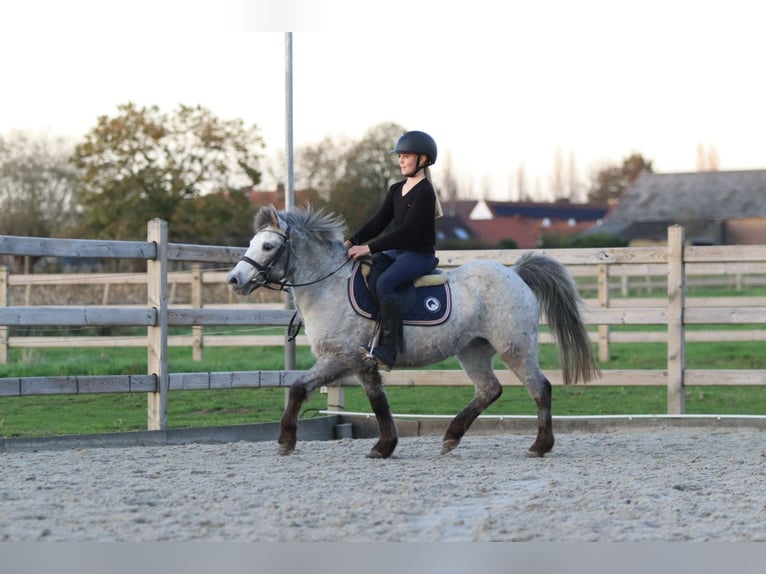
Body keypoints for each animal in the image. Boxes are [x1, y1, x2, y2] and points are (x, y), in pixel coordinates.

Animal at [226, 205, 599, 459]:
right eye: (253, 242)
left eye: (268, 247)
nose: (234, 280)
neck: (328, 285)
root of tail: (515, 273)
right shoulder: (338, 358)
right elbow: (299, 388)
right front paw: (286, 441)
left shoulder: (352, 358)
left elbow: (376, 401)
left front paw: (384, 446)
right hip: (473, 350)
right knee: (489, 390)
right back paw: (451, 436)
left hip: (514, 348)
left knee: (540, 388)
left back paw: (540, 445)